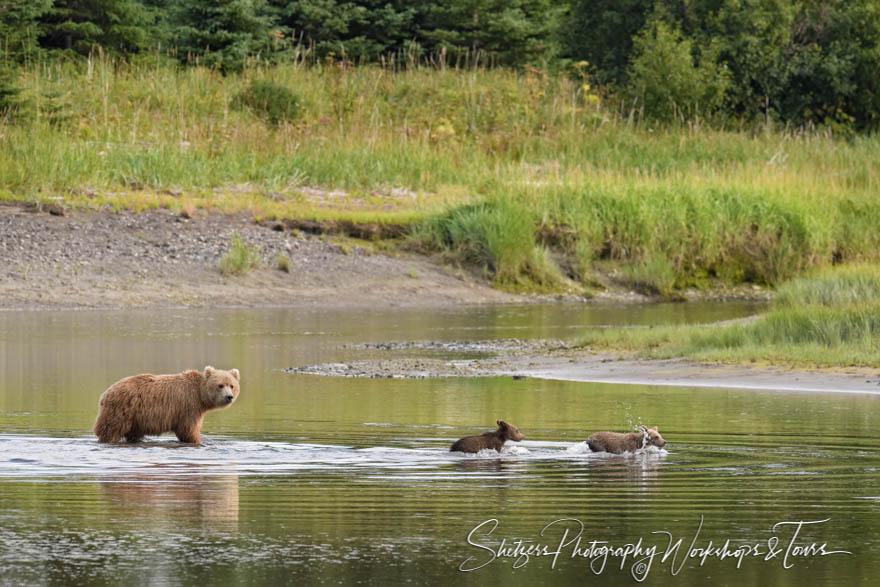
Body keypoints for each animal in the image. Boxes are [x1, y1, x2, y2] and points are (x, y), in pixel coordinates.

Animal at [93, 366, 241, 444]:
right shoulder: (189, 407)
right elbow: (188, 430)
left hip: (135, 419)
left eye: (232, 385)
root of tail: (104, 394)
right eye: (220, 385)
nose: (229, 397)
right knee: (110, 431)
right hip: (121, 411)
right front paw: (198, 440)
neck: (200, 396)